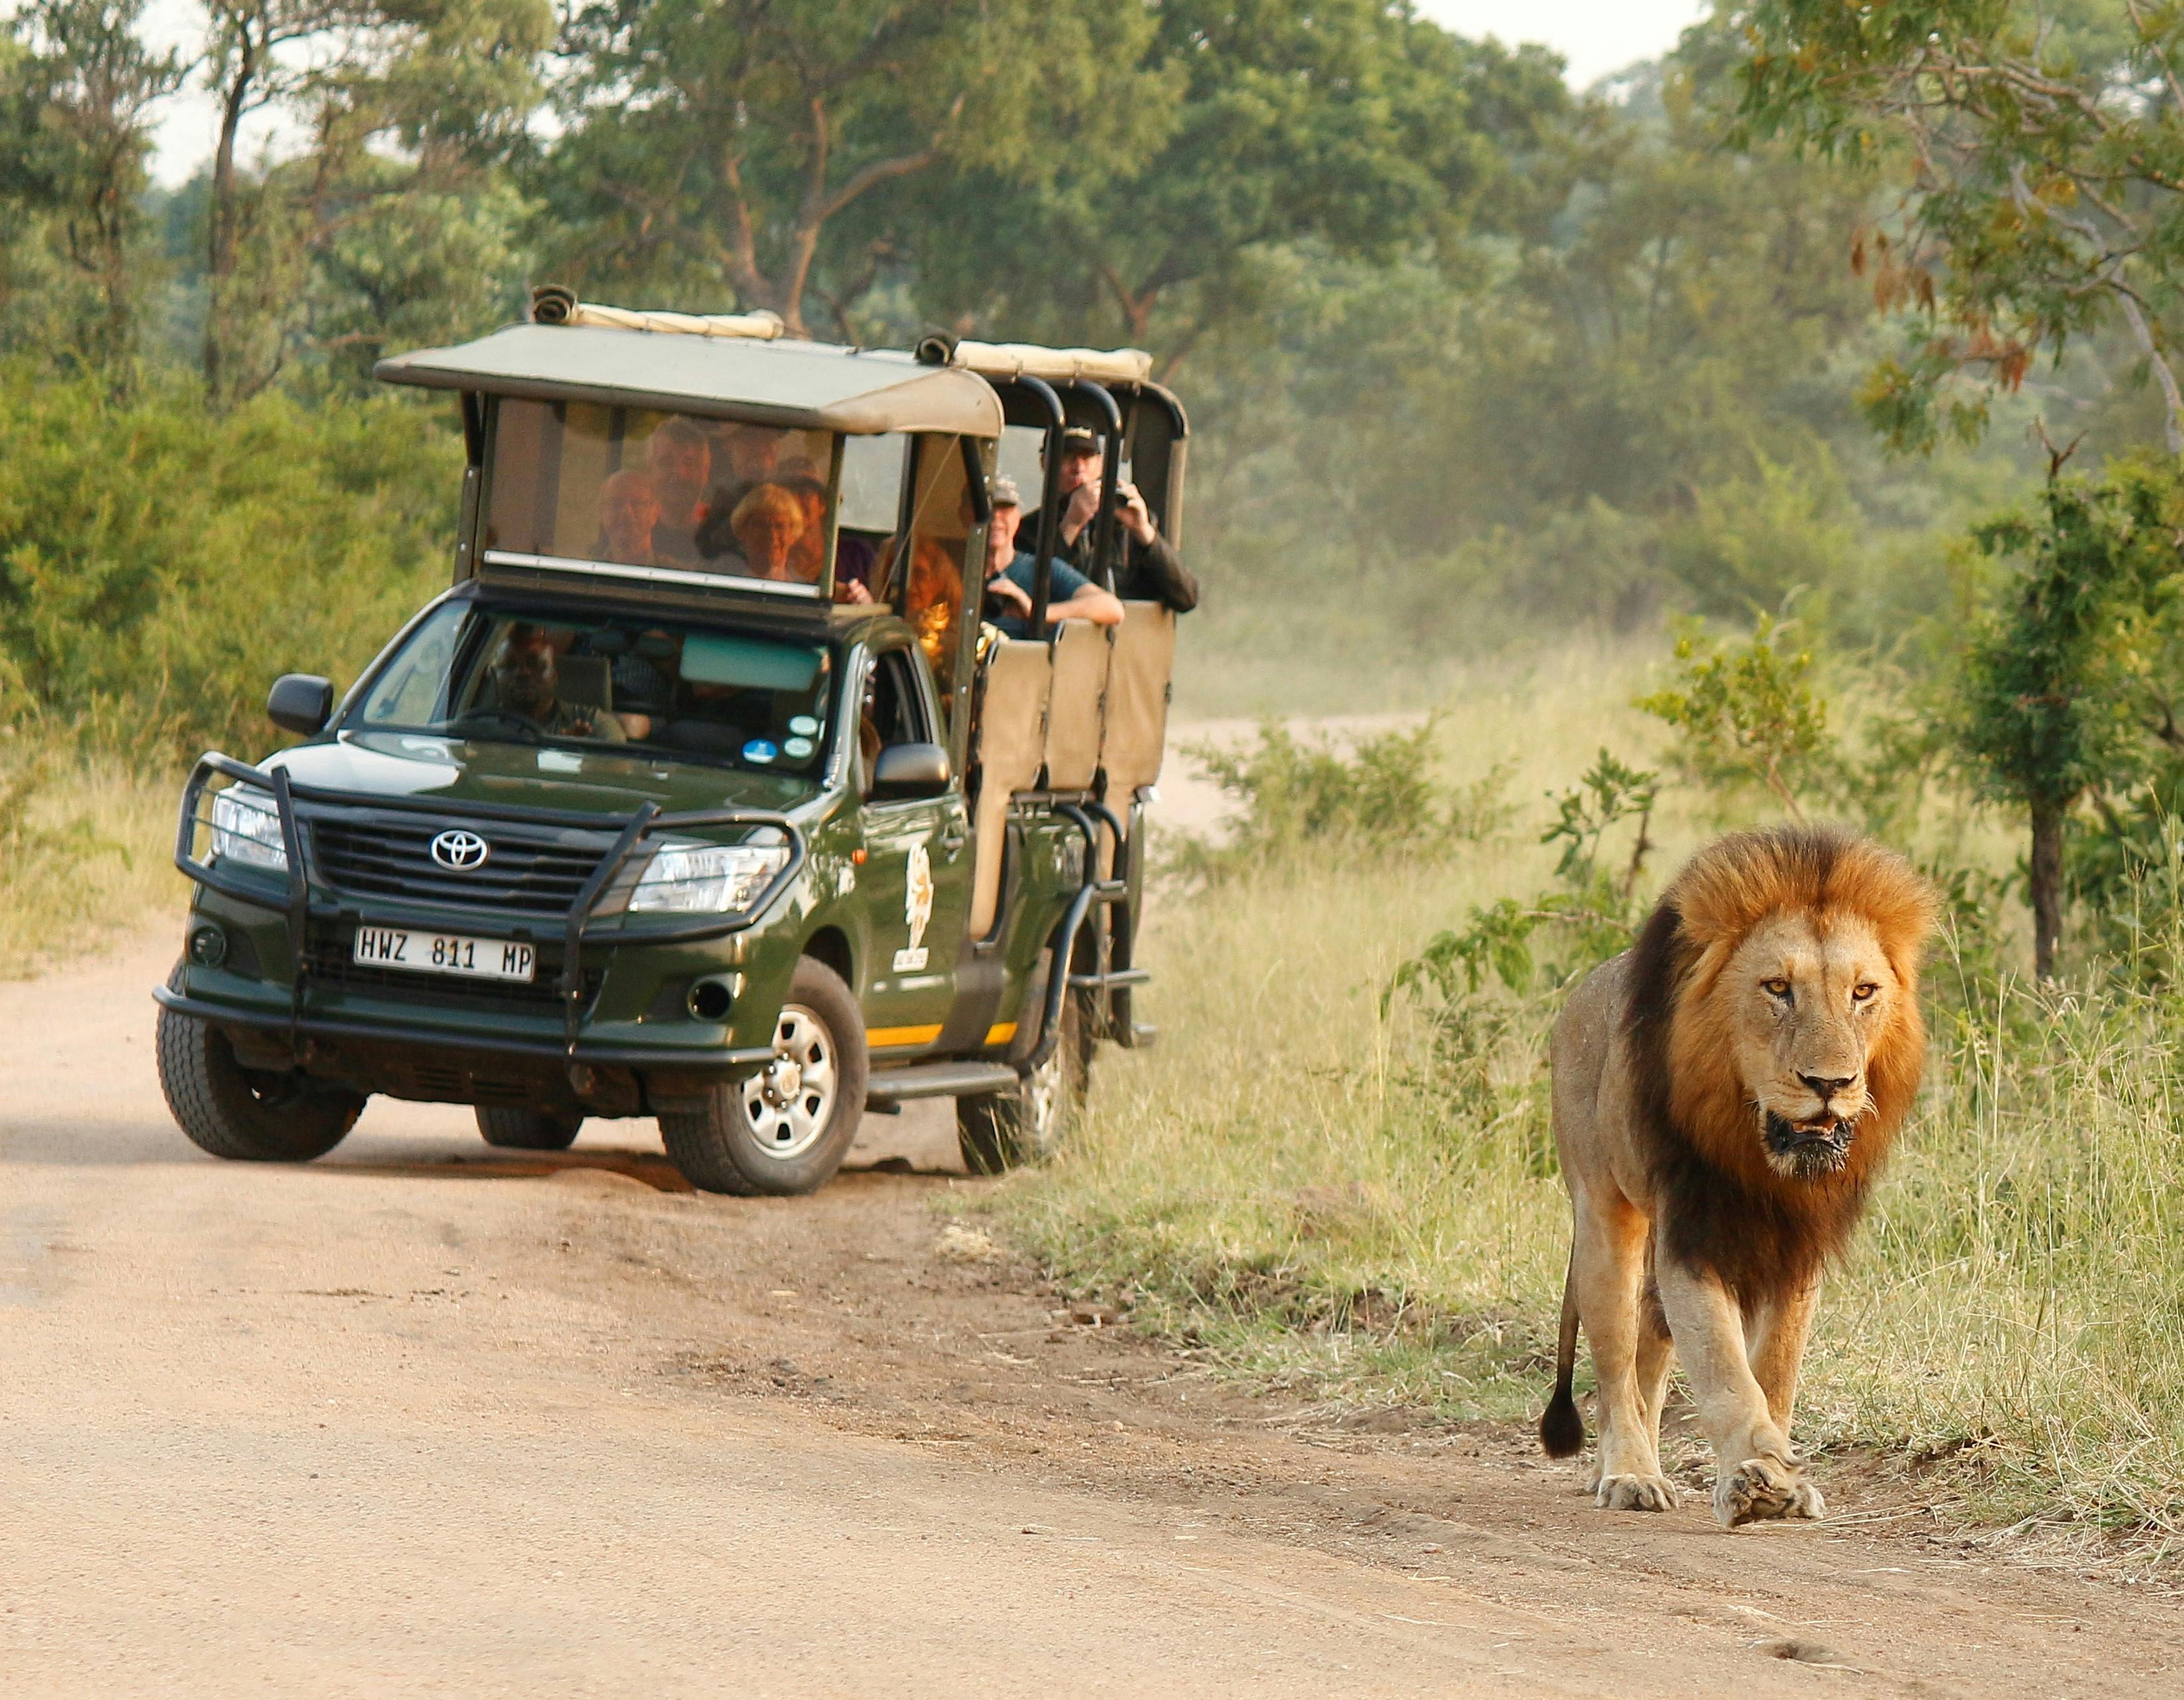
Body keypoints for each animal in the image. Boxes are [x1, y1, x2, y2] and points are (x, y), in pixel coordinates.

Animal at [1537, 821, 1930, 1521]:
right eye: (1778, 988)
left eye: (1863, 991)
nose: (1831, 1083)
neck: (1763, 1160)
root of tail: (1583, 988)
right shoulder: (1692, 1233)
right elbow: (1723, 1366)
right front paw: (1755, 1474)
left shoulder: (1798, 1247)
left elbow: (1774, 1367)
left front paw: (1781, 1478)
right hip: (1606, 1217)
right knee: (1614, 1363)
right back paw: (1629, 1473)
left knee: (1648, 1359)